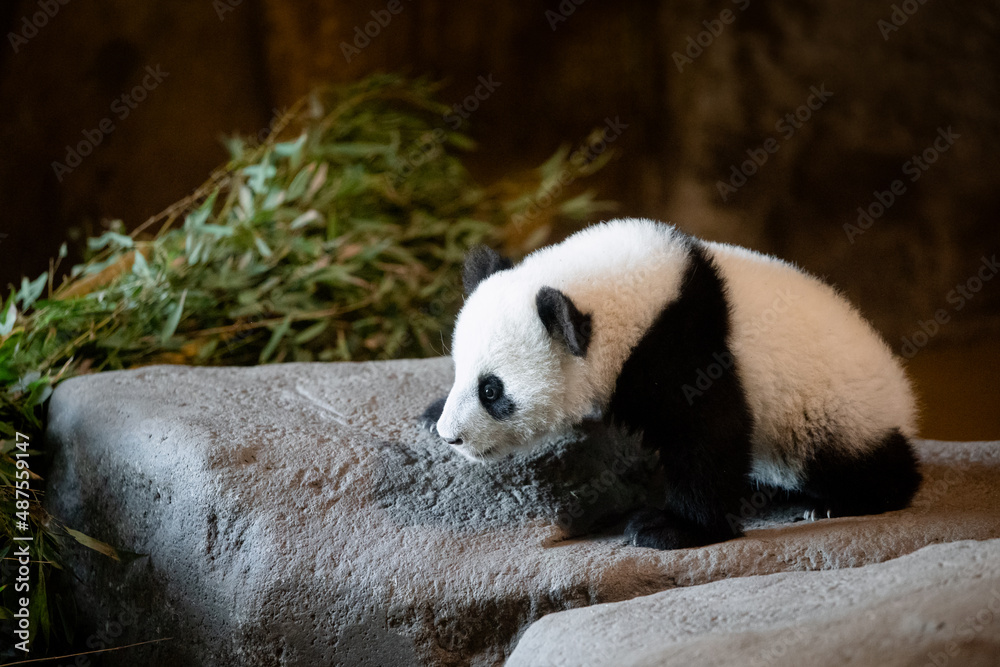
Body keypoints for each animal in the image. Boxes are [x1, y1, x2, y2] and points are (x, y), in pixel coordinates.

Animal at [421, 218, 922, 550]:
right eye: (459, 370)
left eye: (492, 391)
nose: (451, 437)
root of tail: (902, 396)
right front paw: (429, 413)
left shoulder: (687, 346)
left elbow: (709, 434)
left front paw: (670, 527)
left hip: (828, 413)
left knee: (848, 459)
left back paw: (844, 500)